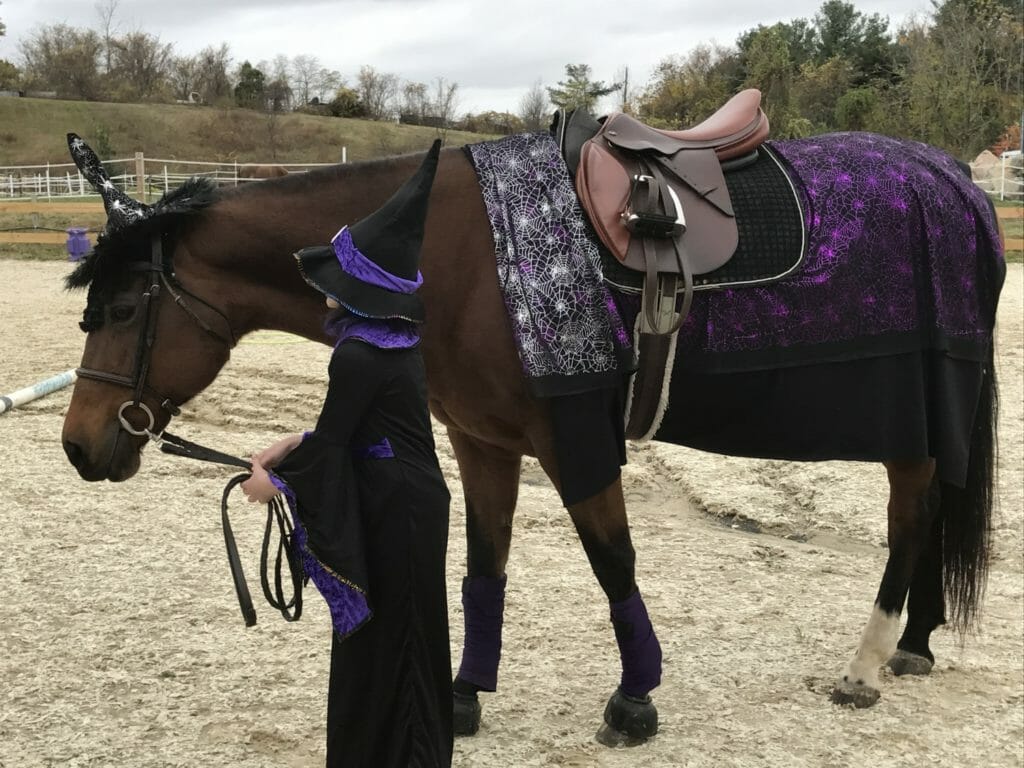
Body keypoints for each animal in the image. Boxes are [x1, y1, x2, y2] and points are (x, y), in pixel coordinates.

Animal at [58, 140, 999, 745]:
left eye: (123, 308)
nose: (78, 445)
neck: (448, 255)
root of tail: (952, 180)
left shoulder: (570, 437)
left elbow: (613, 564)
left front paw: (634, 702)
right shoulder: (484, 442)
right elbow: (484, 567)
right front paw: (466, 696)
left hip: (910, 420)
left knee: (911, 521)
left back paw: (866, 664)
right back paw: (914, 645)